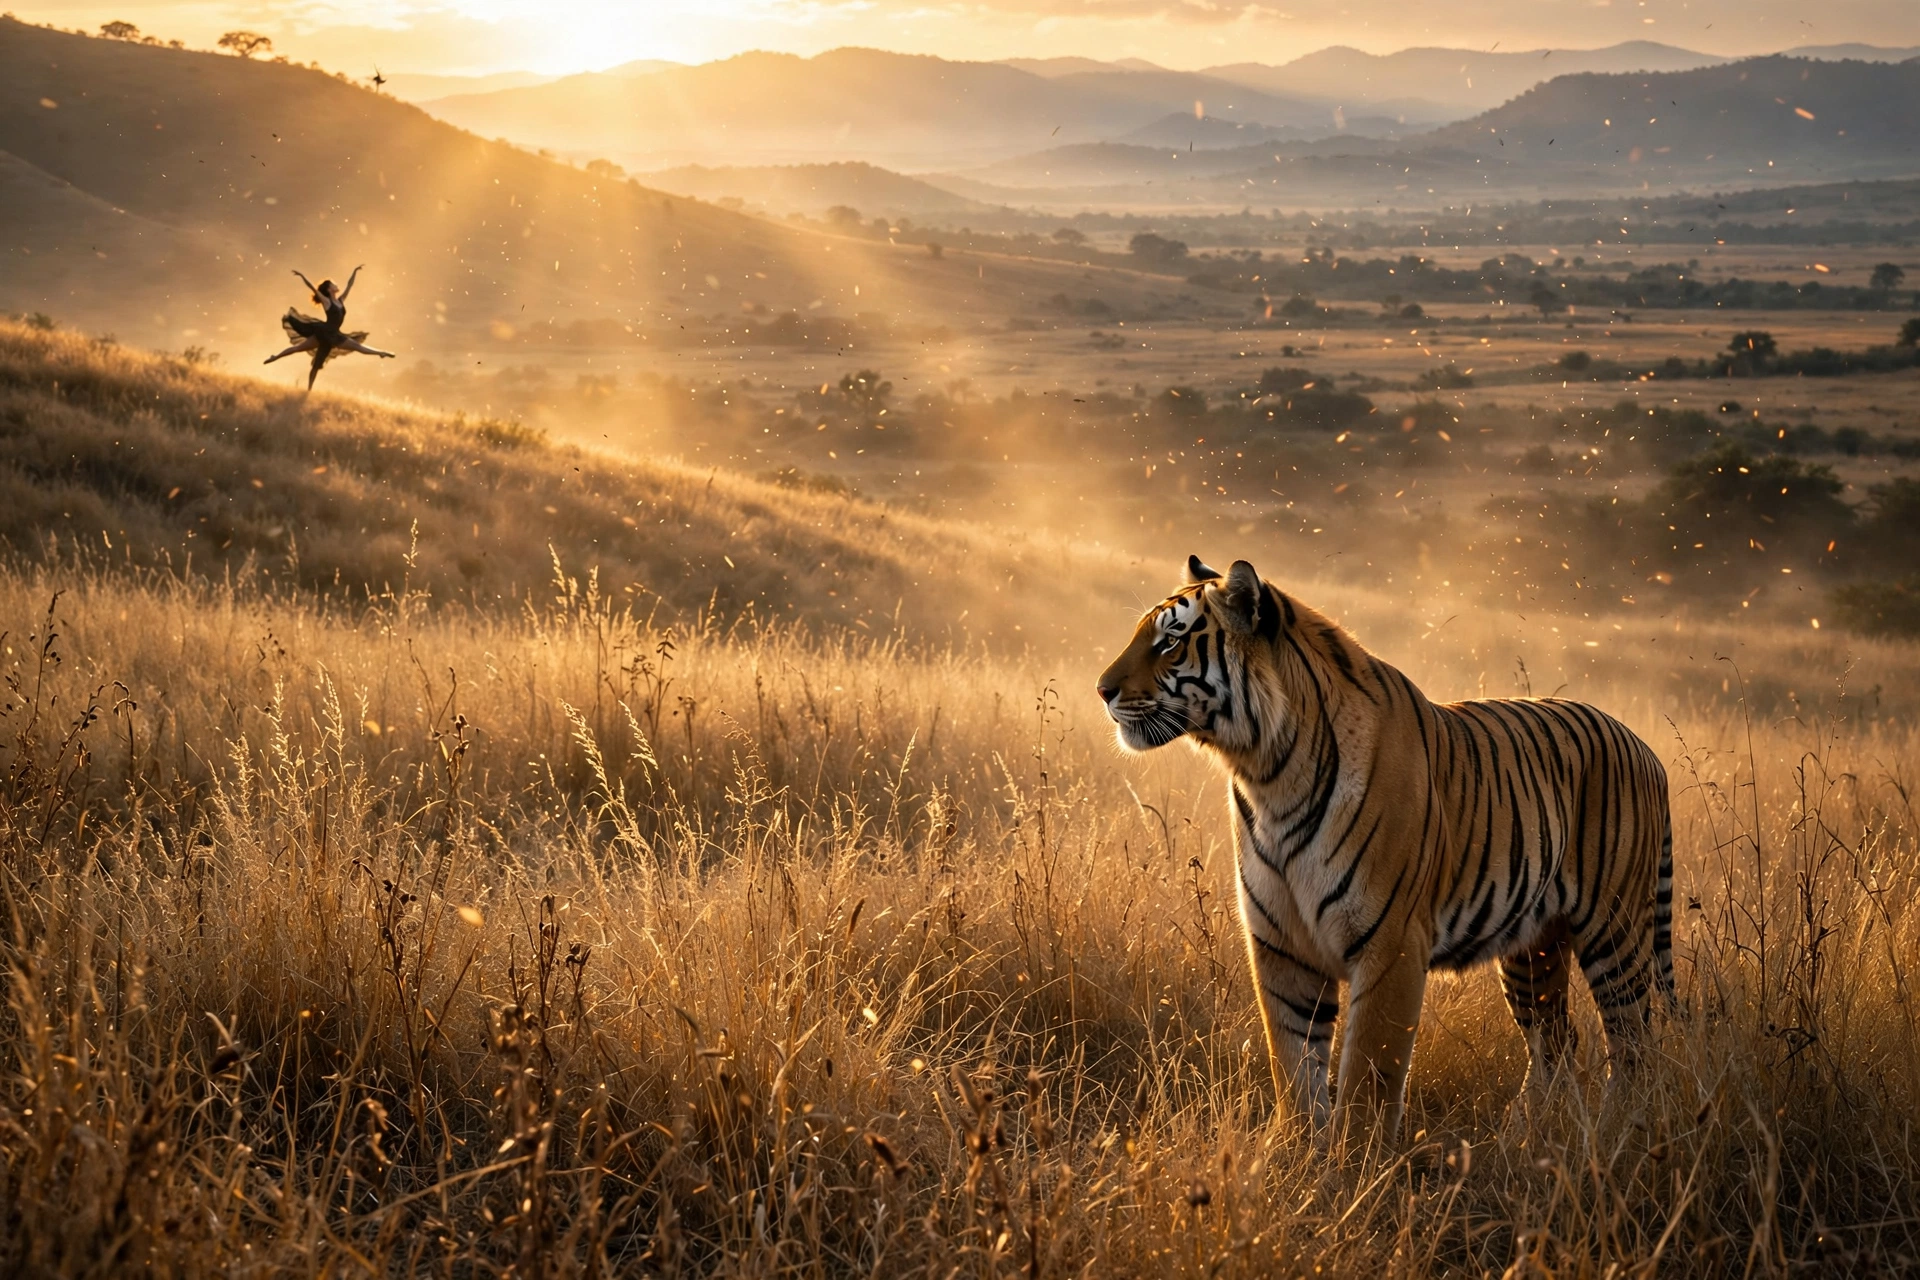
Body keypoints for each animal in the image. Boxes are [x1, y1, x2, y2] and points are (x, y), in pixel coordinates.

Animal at [1097, 556, 1673, 1138]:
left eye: (1171, 641)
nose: (1102, 690)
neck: (1267, 772)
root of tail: (1643, 745)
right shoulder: (1281, 946)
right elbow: (1294, 1067)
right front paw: (1299, 1150)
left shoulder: (1391, 943)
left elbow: (1366, 1079)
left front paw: (1356, 1158)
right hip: (1532, 947)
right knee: (1556, 1040)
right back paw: (1526, 1135)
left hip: (1615, 930)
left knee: (1634, 1044)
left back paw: (1621, 1130)